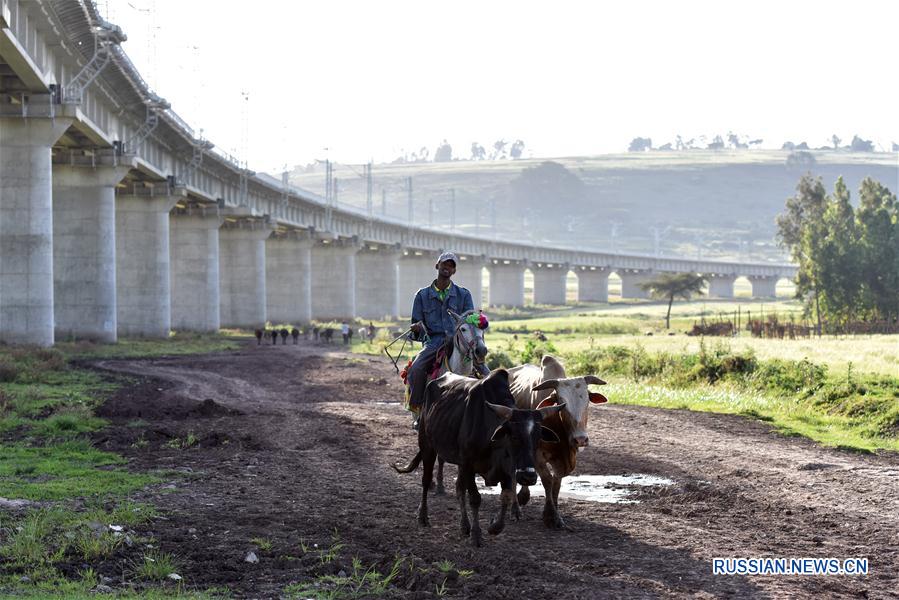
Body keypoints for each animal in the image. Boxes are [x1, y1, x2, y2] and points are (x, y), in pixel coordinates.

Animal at [510, 354, 608, 528]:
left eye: (587, 401)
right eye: (562, 403)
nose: (581, 439)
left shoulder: (563, 459)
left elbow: (556, 483)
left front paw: (556, 515)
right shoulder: (538, 456)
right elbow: (548, 481)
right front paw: (550, 515)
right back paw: (515, 509)